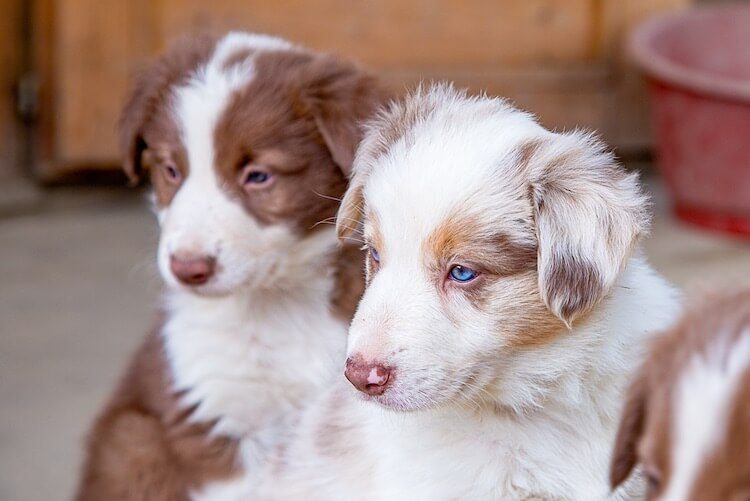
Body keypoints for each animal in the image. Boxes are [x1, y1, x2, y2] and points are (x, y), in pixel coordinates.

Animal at [76, 33, 390, 498]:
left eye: (258, 176)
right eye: (171, 170)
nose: (187, 267)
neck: (274, 309)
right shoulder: (210, 414)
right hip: (133, 441)